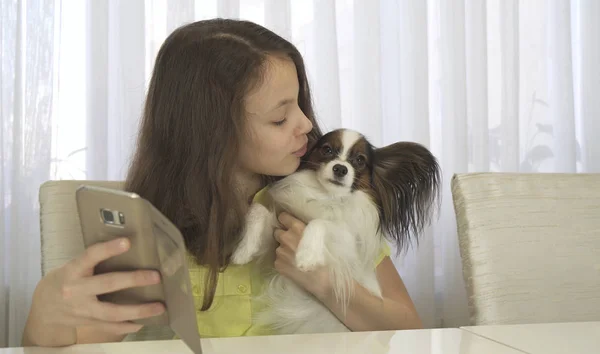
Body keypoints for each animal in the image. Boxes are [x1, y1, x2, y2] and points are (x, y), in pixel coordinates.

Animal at [232, 128, 438, 334]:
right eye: (327, 150)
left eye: (360, 160)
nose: (340, 168)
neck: (326, 197)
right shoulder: (276, 236)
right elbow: (257, 210)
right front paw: (242, 252)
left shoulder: (345, 243)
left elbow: (321, 222)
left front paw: (306, 256)